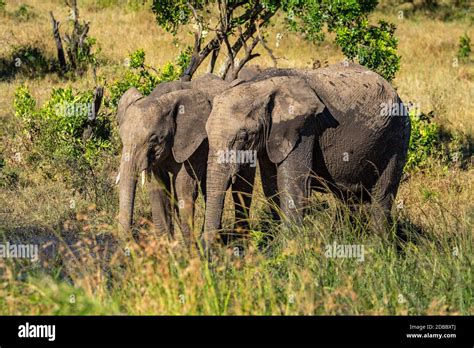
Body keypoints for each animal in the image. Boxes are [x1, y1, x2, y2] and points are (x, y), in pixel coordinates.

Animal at [115, 72, 256, 247]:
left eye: (153, 139)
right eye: (121, 137)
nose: (131, 242)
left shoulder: (198, 141)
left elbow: (184, 186)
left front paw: (188, 249)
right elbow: (158, 188)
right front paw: (166, 246)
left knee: (242, 186)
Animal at [203, 61, 412, 247]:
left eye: (244, 136)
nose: (212, 251)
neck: (260, 85)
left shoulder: (304, 127)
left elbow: (293, 185)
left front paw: (288, 250)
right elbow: (271, 186)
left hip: (398, 136)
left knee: (382, 196)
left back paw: (378, 250)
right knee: (346, 198)